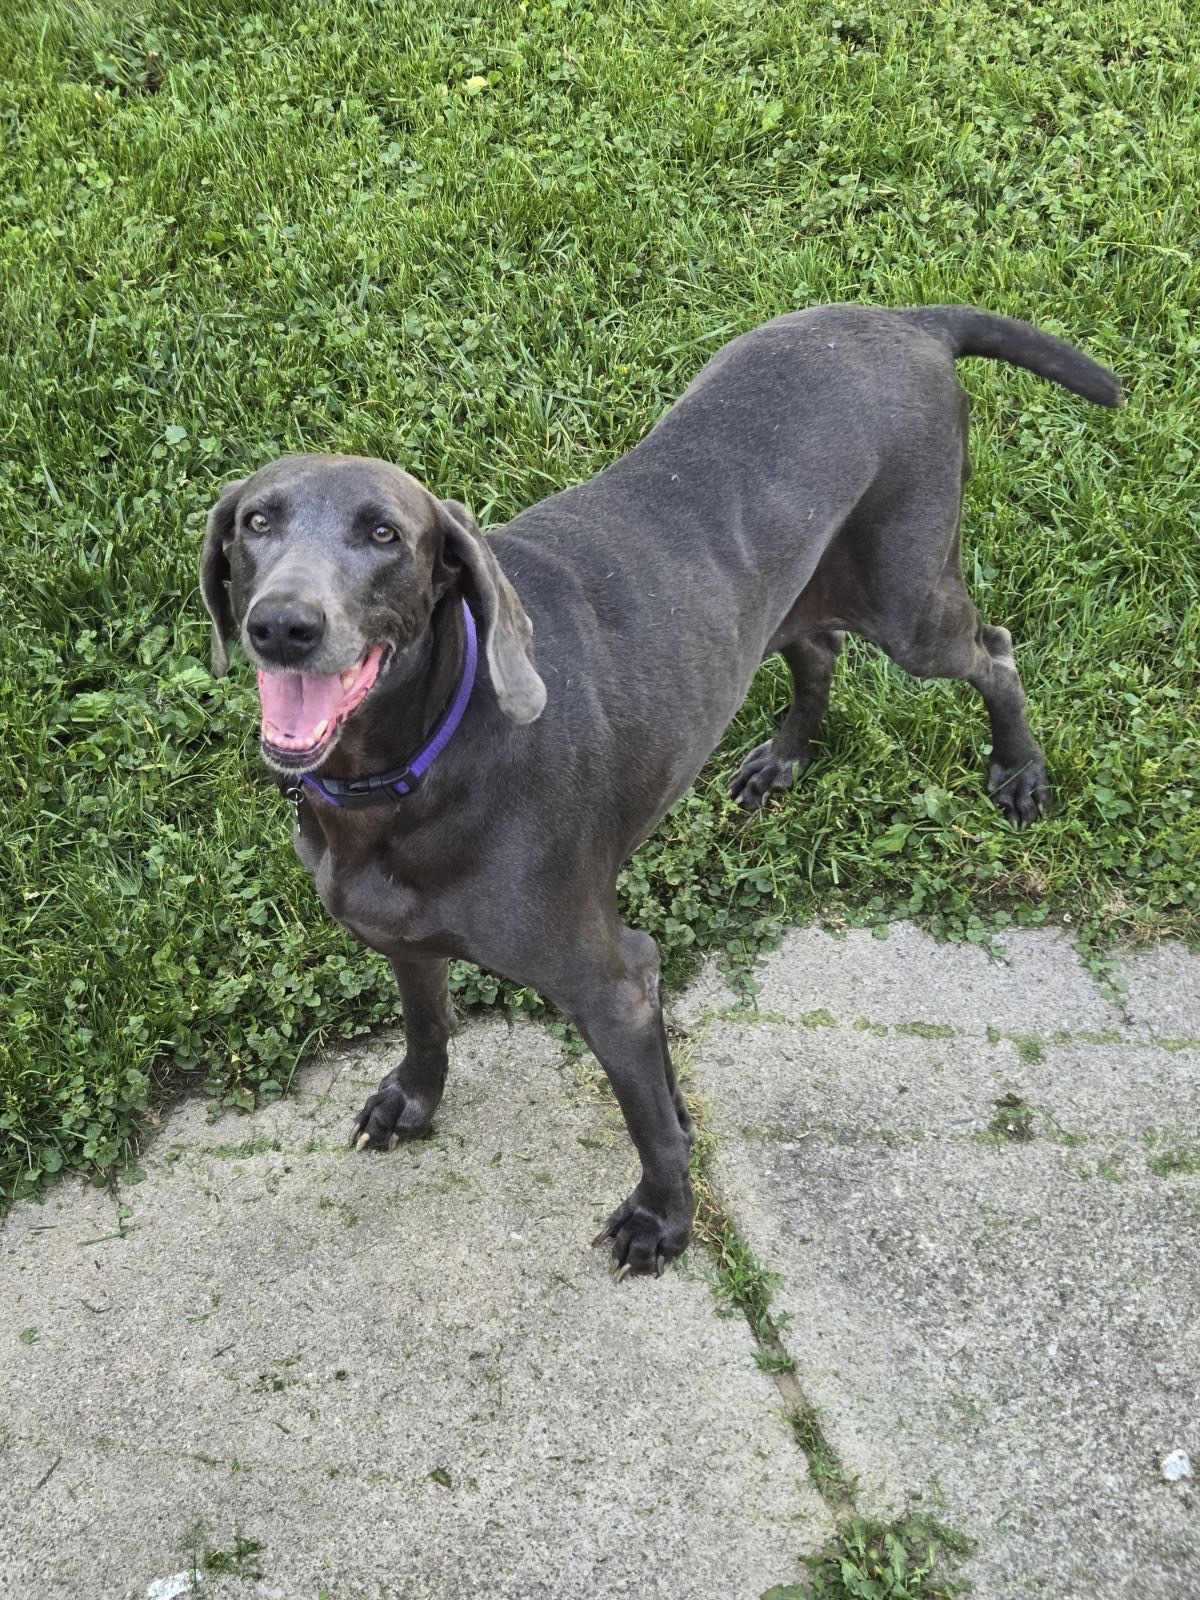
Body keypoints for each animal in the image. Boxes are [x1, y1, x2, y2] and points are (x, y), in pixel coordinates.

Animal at [202, 302, 1126, 1273]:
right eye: (257, 522)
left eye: (384, 534)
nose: (283, 626)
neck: (409, 772)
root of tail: (902, 315)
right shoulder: (400, 937)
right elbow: (427, 1024)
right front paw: (412, 1101)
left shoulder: (614, 982)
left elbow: (650, 1123)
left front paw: (663, 1218)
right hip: (797, 595)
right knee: (819, 647)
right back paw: (782, 760)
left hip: (911, 603)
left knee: (995, 651)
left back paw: (1019, 771)